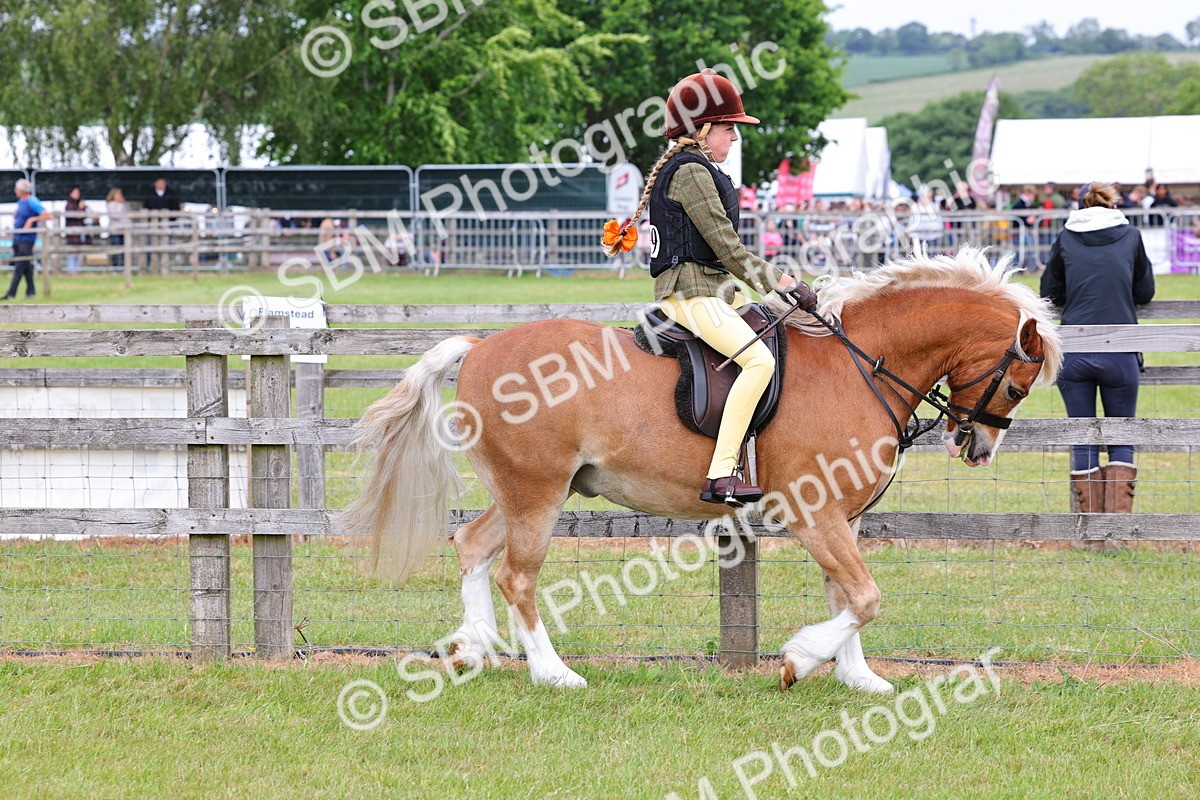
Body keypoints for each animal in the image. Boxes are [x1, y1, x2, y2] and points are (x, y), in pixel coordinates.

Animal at [342, 247, 1063, 693]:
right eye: (1017, 386)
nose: (979, 448)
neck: (858, 363)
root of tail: (480, 345)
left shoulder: (843, 517)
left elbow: (848, 597)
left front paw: (858, 677)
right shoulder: (816, 514)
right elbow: (863, 597)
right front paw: (800, 660)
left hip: (527, 490)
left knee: (473, 545)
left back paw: (473, 647)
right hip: (537, 493)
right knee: (517, 575)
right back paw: (553, 673)